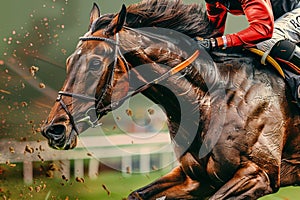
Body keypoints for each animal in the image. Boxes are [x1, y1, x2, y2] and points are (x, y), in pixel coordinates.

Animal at [40, 0, 300, 199]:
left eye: (95, 63)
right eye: (69, 61)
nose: (54, 129)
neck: (213, 98)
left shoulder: (259, 175)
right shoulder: (195, 178)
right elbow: (137, 194)